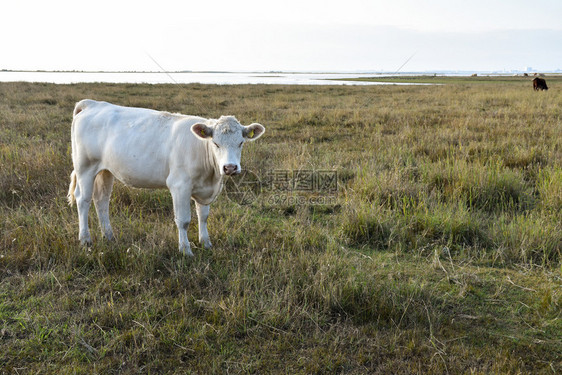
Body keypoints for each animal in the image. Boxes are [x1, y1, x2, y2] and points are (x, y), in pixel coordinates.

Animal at [66, 100, 264, 258]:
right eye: (215, 143)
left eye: (241, 143)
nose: (230, 167)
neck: (211, 176)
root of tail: (94, 104)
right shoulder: (179, 186)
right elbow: (183, 220)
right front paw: (185, 250)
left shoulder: (205, 189)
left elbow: (203, 216)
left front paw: (206, 243)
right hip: (85, 167)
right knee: (83, 200)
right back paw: (85, 240)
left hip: (105, 171)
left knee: (101, 201)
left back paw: (109, 236)